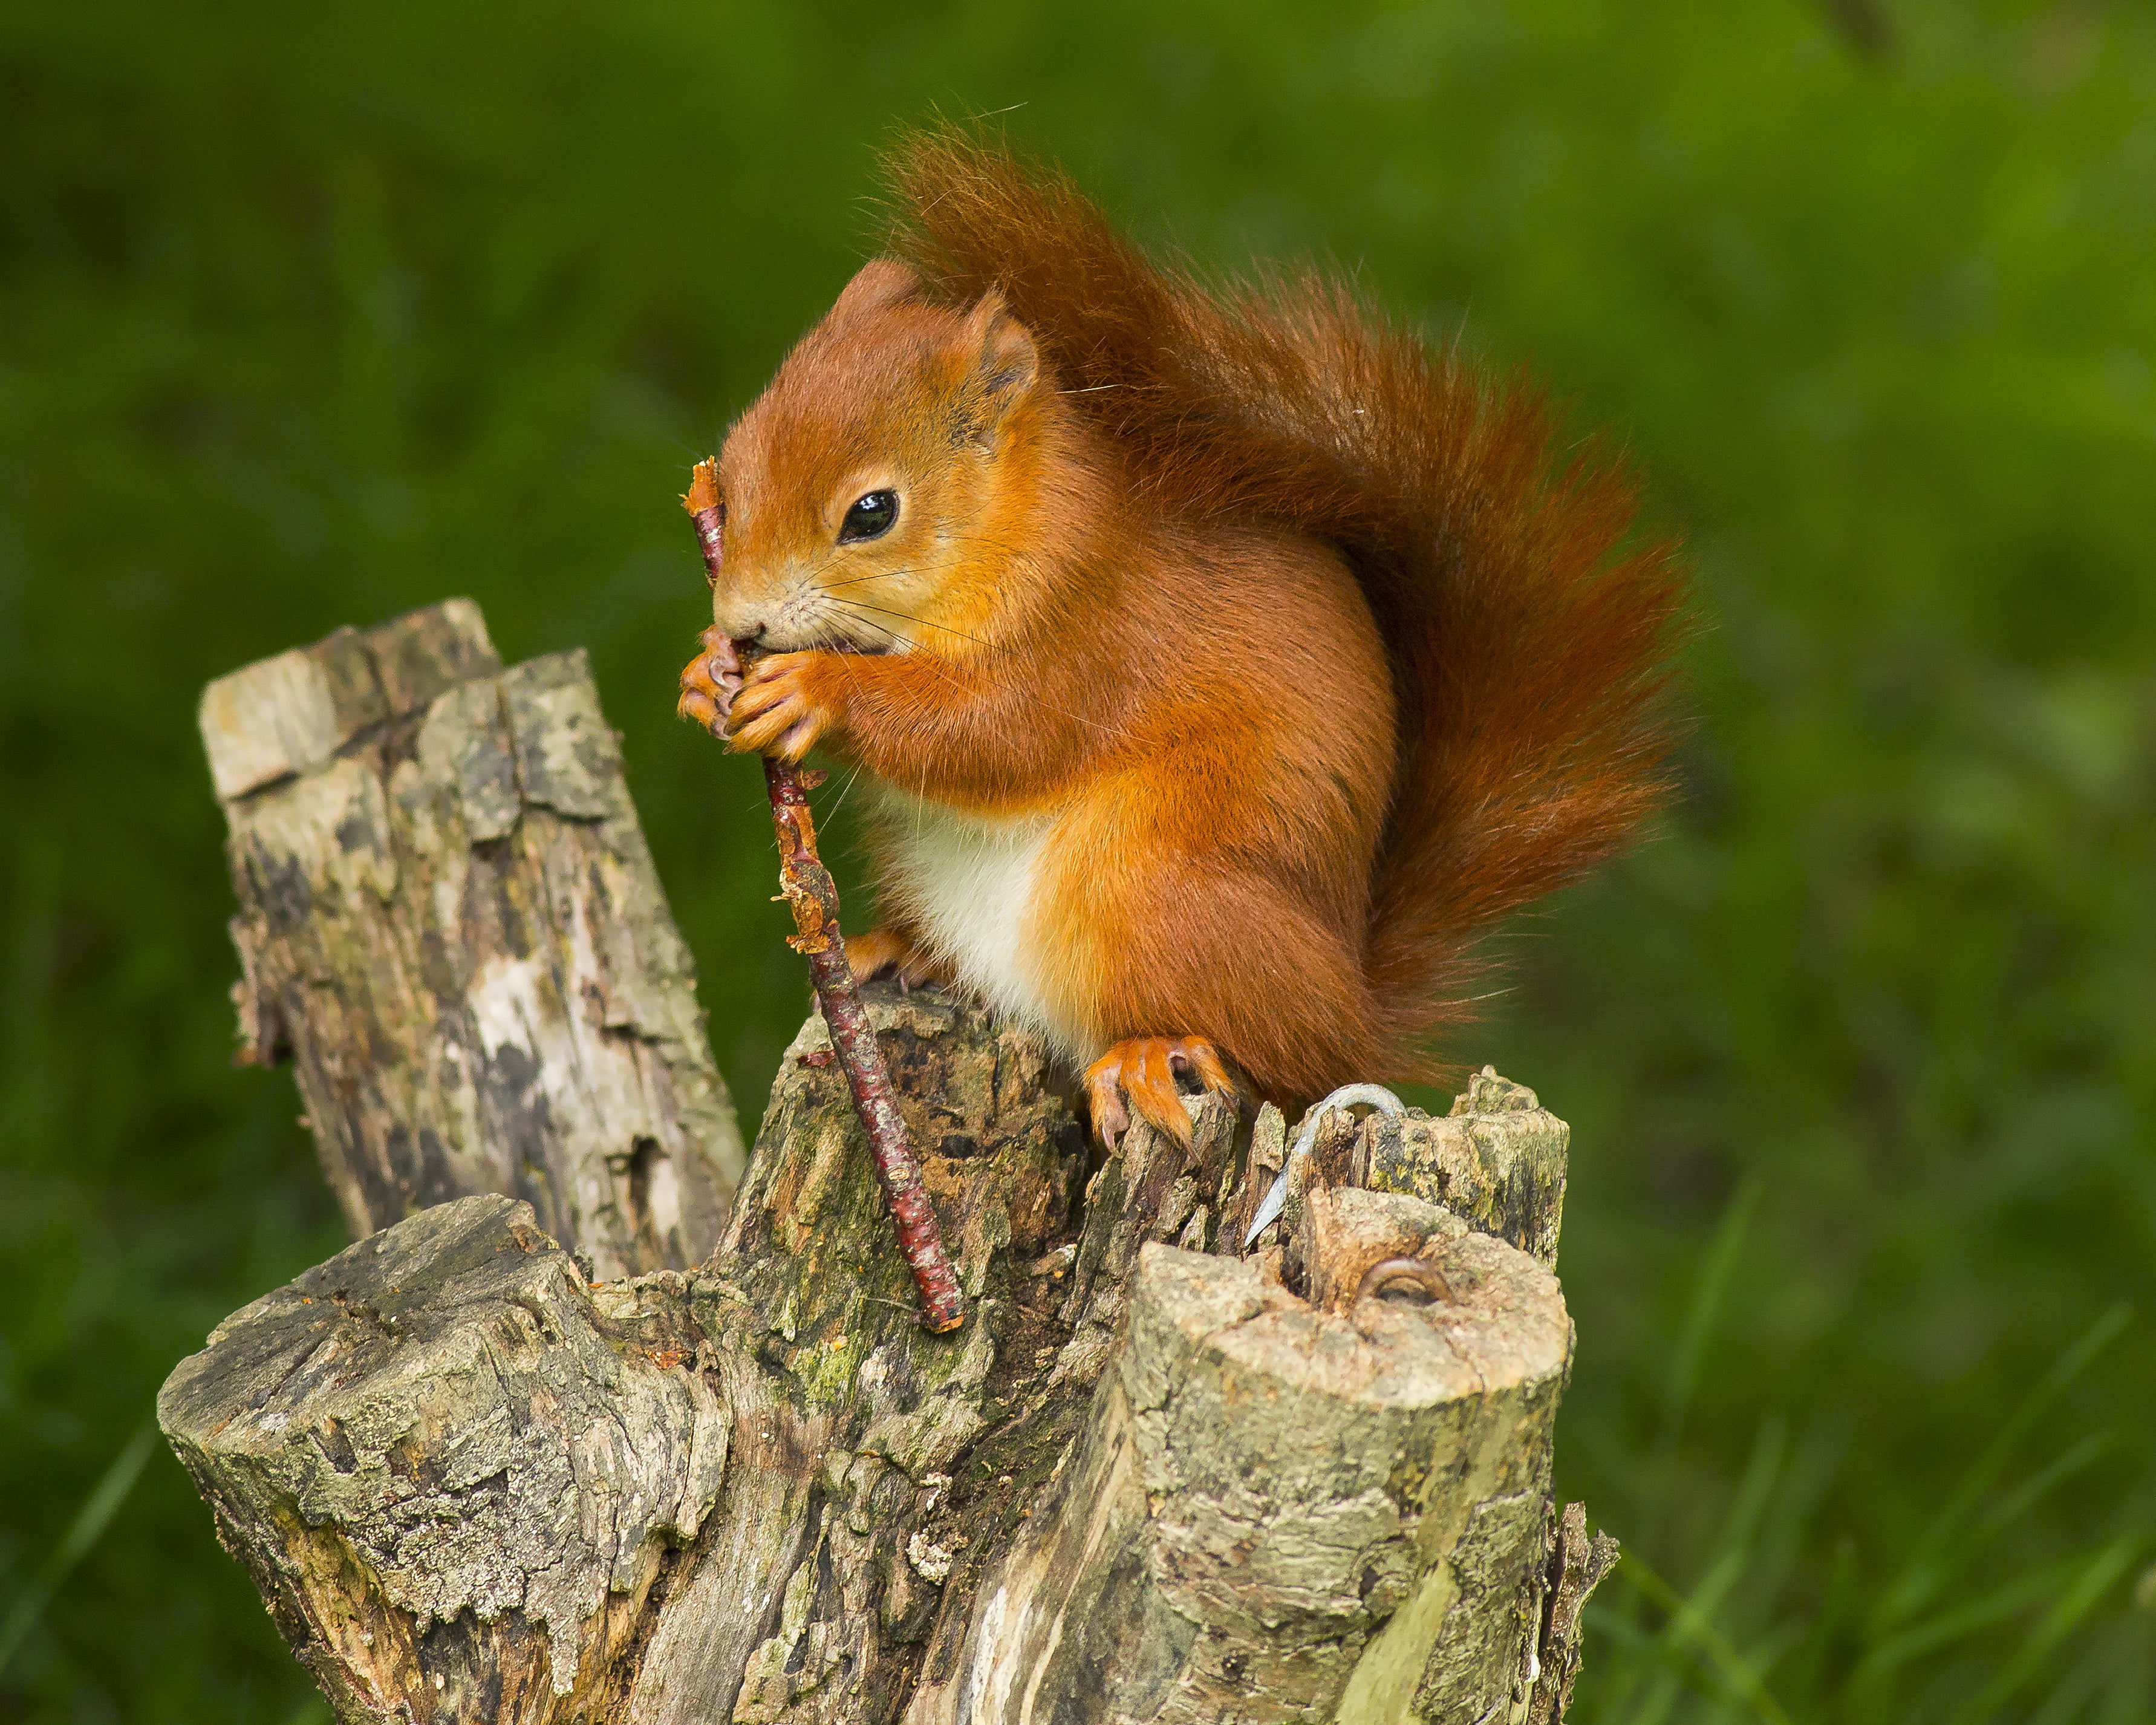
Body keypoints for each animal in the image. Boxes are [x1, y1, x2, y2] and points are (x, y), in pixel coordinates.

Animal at [677, 131, 1681, 1147]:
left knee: (1249, 1050)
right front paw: (702, 674)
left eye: (872, 513)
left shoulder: (1101, 631)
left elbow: (997, 733)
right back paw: (900, 951)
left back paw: (1148, 1056)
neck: (1023, 525)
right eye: (734, 458)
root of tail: (1352, 1012)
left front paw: (813, 689)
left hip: (1151, 890)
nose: (744, 620)